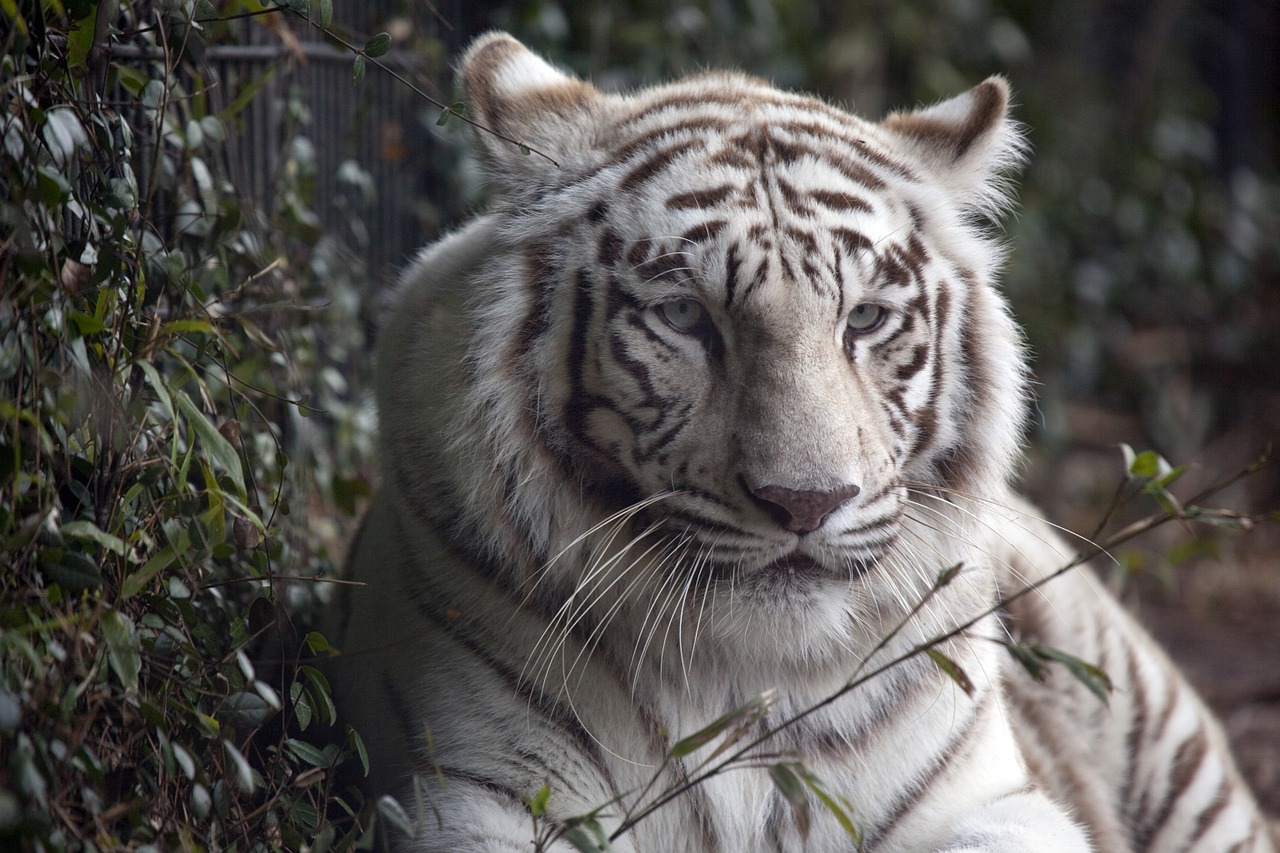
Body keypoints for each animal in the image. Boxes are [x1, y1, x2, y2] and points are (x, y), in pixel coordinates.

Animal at [325, 33, 1274, 850]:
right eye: (684, 317)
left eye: (866, 318)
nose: (807, 503)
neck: (747, 678)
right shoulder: (478, 790)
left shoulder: (986, 797)